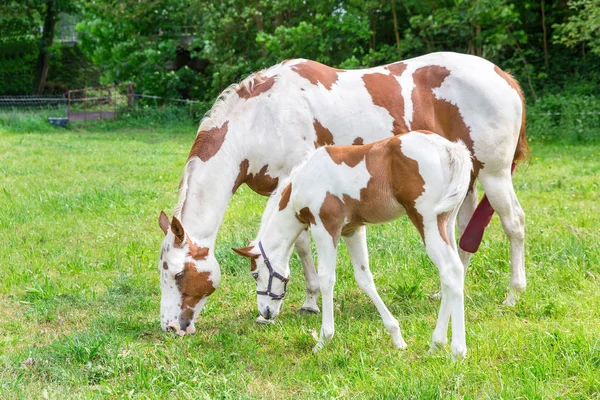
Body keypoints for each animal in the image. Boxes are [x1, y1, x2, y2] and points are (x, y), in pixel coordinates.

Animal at [157, 52, 528, 334]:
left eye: (177, 274)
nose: (171, 327)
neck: (263, 118)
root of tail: (505, 77)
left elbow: (301, 246)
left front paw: (310, 301)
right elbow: (298, 246)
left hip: (494, 176)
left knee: (514, 224)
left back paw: (513, 294)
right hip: (465, 184)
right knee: (462, 236)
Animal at [234, 132, 474, 360]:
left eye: (255, 274)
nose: (265, 312)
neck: (303, 181)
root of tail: (448, 148)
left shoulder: (325, 228)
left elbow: (326, 278)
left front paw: (323, 340)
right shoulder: (353, 230)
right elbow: (364, 279)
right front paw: (396, 336)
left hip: (427, 222)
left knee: (450, 270)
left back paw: (457, 351)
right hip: (446, 222)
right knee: (452, 273)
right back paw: (436, 344)